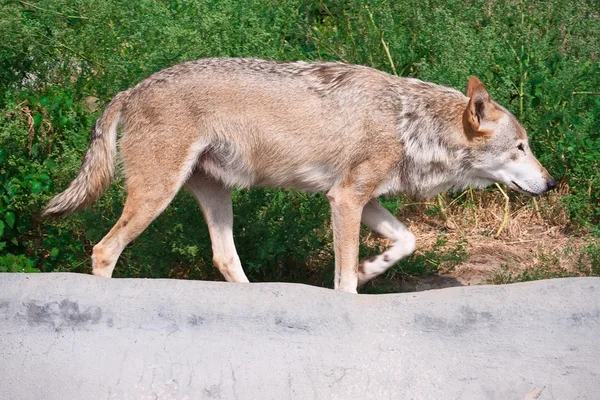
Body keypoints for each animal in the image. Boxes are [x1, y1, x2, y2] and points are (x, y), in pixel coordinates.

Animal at [43, 57, 556, 294]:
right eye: (520, 148)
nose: (551, 183)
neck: (408, 123)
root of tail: (130, 90)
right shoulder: (345, 200)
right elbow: (344, 279)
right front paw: (355, 281)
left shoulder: (363, 200)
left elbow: (408, 241)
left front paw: (372, 268)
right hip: (156, 196)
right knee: (104, 250)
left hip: (215, 197)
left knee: (225, 259)